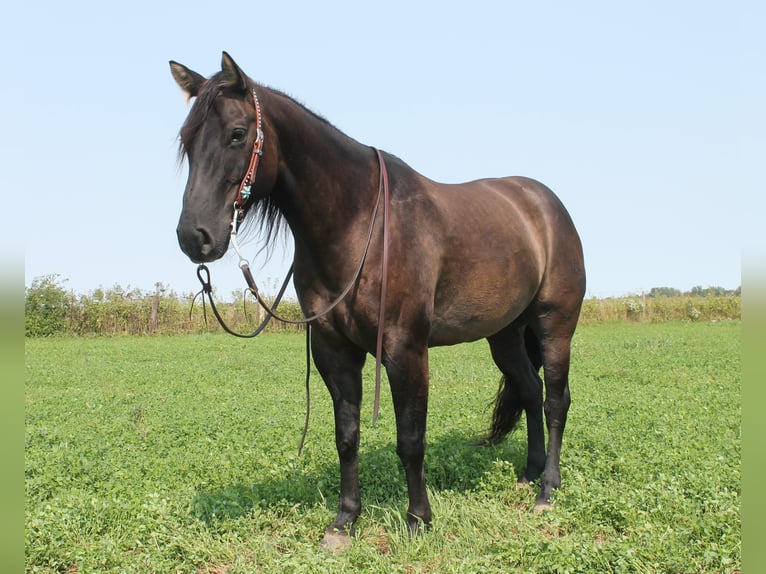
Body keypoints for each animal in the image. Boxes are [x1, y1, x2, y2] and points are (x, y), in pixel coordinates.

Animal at [170, 54, 588, 552]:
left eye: (236, 133)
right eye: (186, 139)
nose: (194, 236)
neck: (358, 221)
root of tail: (544, 204)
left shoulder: (405, 348)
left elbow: (410, 438)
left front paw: (418, 519)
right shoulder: (334, 350)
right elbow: (346, 437)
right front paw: (344, 523)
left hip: (554, 326)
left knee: (555, 401)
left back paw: (547, 489)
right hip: (503, 335)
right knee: (529, 390)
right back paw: (528, 475)